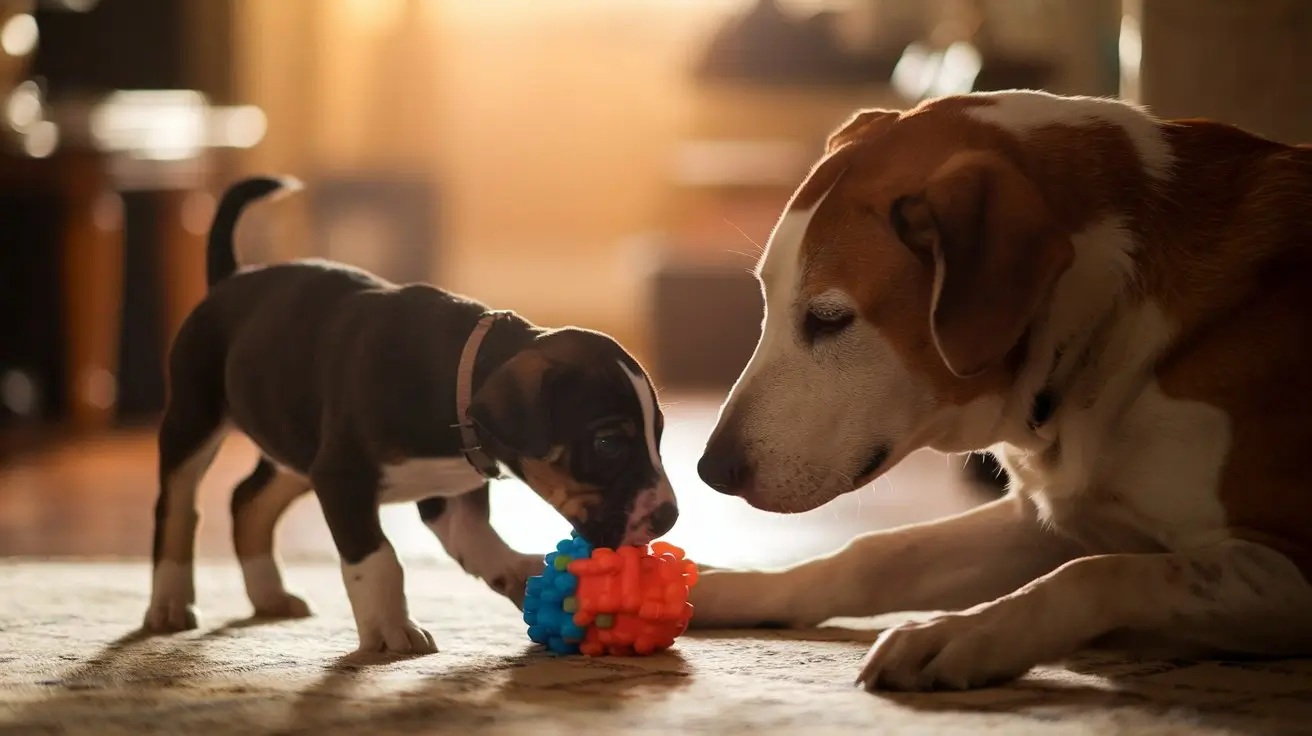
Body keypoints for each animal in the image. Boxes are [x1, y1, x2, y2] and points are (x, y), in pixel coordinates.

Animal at [143, 177, 676, 653]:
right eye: (608, 443)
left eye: (657, 437)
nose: (669, 517)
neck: (455, 377)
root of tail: (230, 278)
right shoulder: (342, 476)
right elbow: (379, 558)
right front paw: (390, 629)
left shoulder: (445, 489)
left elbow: (475, 538)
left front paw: (517, 573)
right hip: (196, 418)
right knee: (178, 507)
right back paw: (168, 603)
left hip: (295, 447)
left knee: (247, 500)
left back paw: (269, 594)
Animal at [687, 90, 1312, 687]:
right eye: (766, 300)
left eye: (828, 318)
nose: (710, 472)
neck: (1100, 336)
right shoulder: (1039, 524)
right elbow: (877, 553)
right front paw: (730, 586)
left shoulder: (1286, 565)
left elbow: (1099, 572)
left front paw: (961, 633)